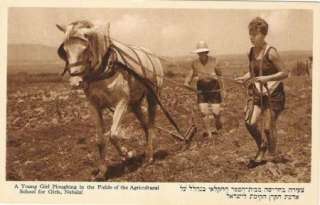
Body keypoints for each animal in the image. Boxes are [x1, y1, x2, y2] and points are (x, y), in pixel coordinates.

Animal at [56, 19, 186, 179]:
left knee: (151, 124)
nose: (75, 82)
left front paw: (127, 154)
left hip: (153, 96)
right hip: (135, 103)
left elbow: (113, 135)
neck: (104, 69)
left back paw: (149, 157)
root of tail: (152, 55)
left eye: (85, 49)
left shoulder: (122, 102)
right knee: (145, 125)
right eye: (65, 51)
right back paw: (145, 153)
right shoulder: (94, 105)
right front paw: (102, 171)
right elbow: (100, 139)